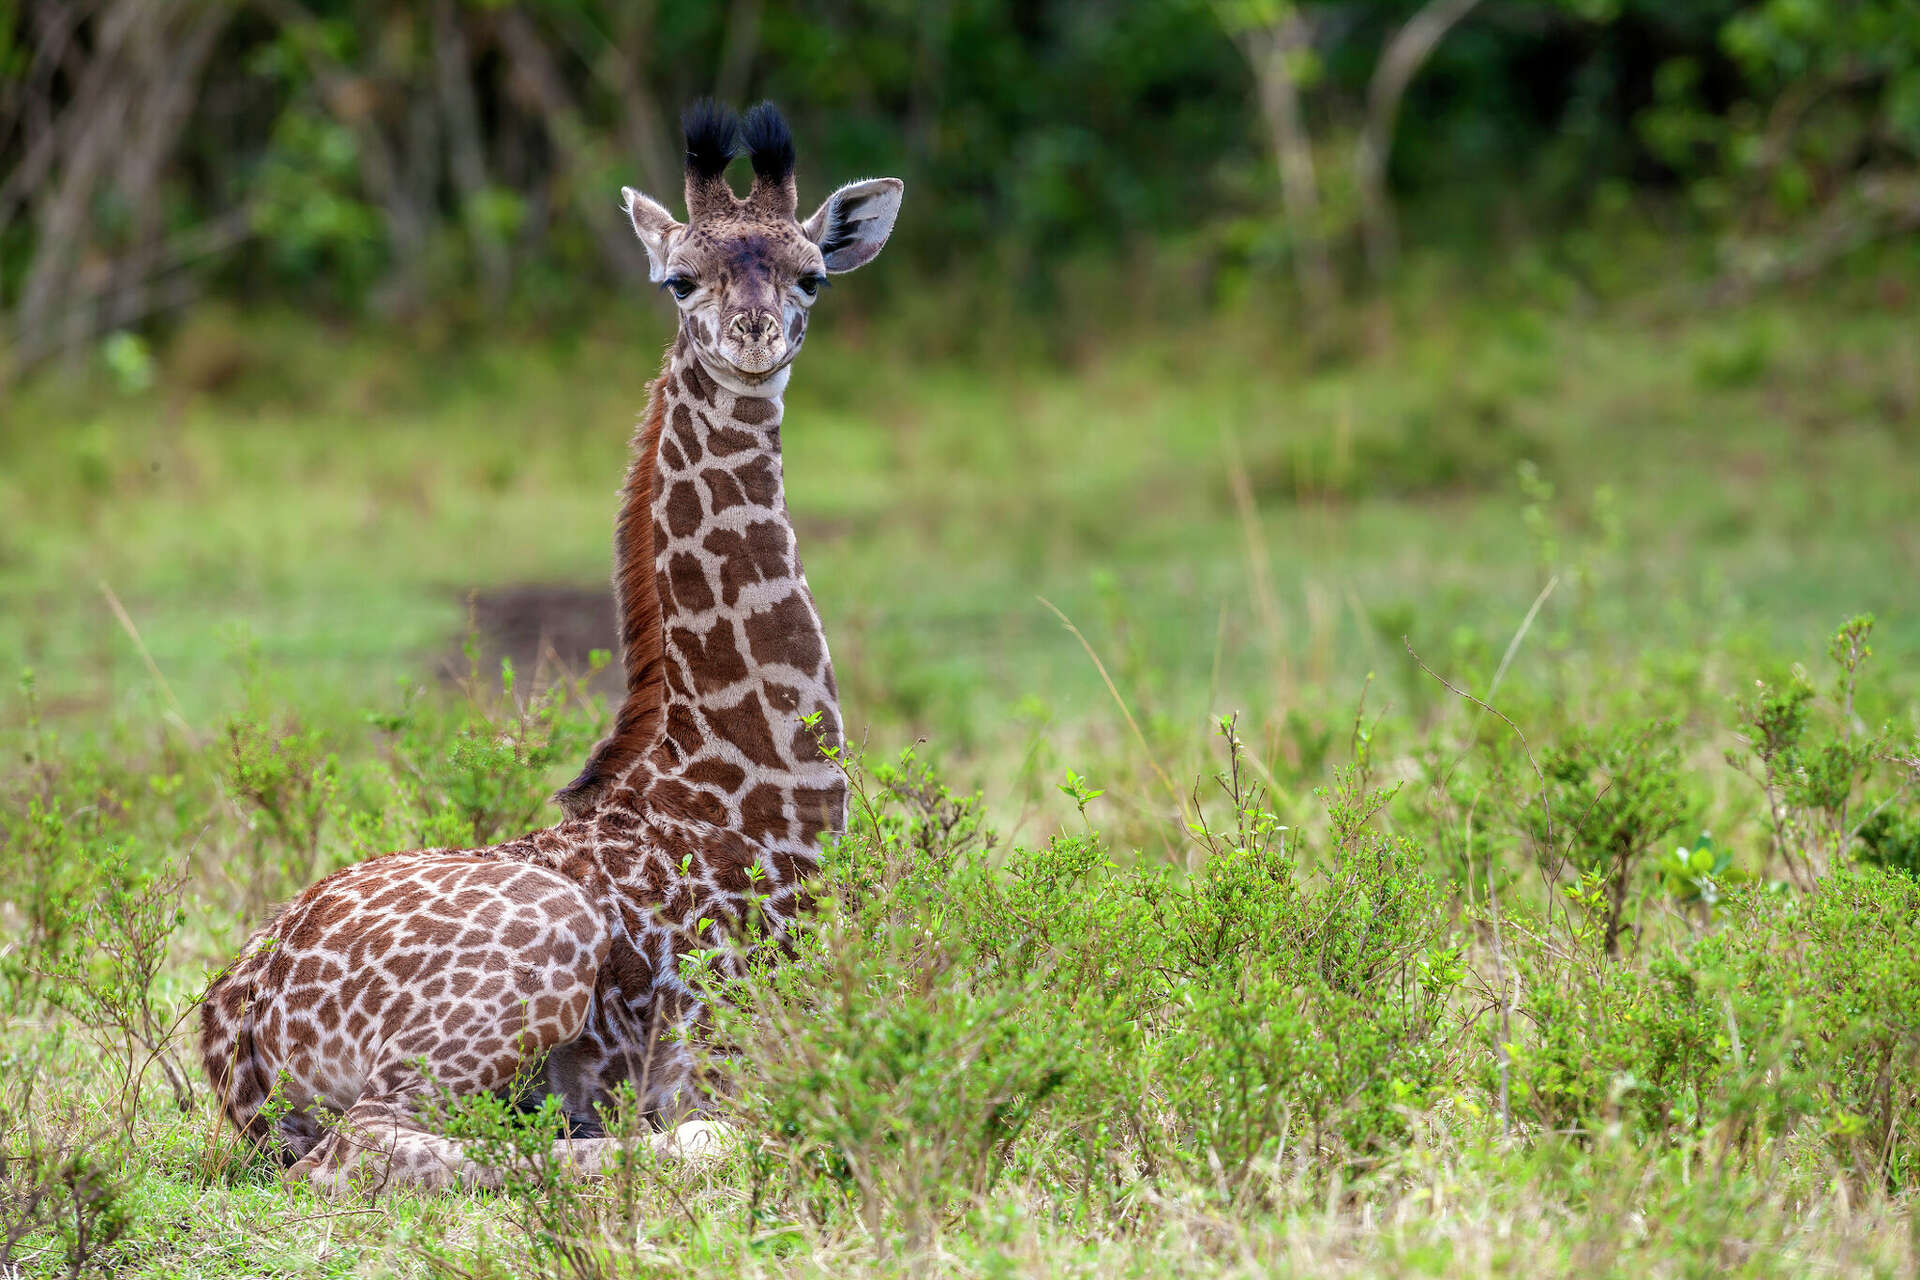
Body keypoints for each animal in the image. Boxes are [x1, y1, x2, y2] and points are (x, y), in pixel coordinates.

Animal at [197, 100, 903, 1194]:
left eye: (810, 274)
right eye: (679, 278)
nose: (752, 341)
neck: (748, 801)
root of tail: (238, 1031)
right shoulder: (726, 1050)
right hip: (532, 970)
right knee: (380, 1148)